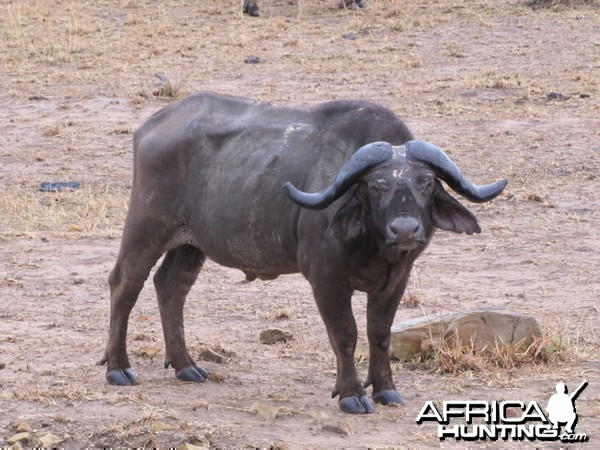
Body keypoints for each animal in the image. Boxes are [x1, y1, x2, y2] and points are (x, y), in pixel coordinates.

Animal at [101, 92, 508, 414]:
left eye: (425, 182)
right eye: (376, 185)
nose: (405, 229)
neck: (374, 244)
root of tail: (150, 126)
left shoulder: (397, 279)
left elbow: (380, 333)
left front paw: (386, 389)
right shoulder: (326, 278)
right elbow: (345, 334)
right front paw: (352, 394)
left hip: (190, 245)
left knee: (171, 287)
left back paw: (186, 365)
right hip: (146, 228)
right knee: (124, 284)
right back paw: (118, 367)